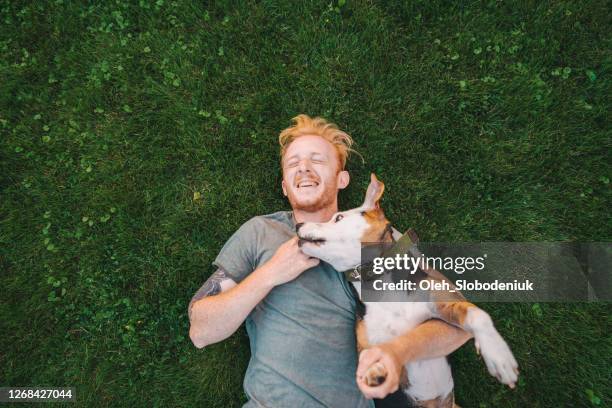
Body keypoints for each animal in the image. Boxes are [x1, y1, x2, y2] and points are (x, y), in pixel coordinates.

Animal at [294, 175, 520, 408]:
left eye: (338, 218)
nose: (298, 224)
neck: (380, 286)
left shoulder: (442, 303)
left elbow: (477, 314)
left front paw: (499, 356)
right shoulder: (366, 348)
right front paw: (377, 371)